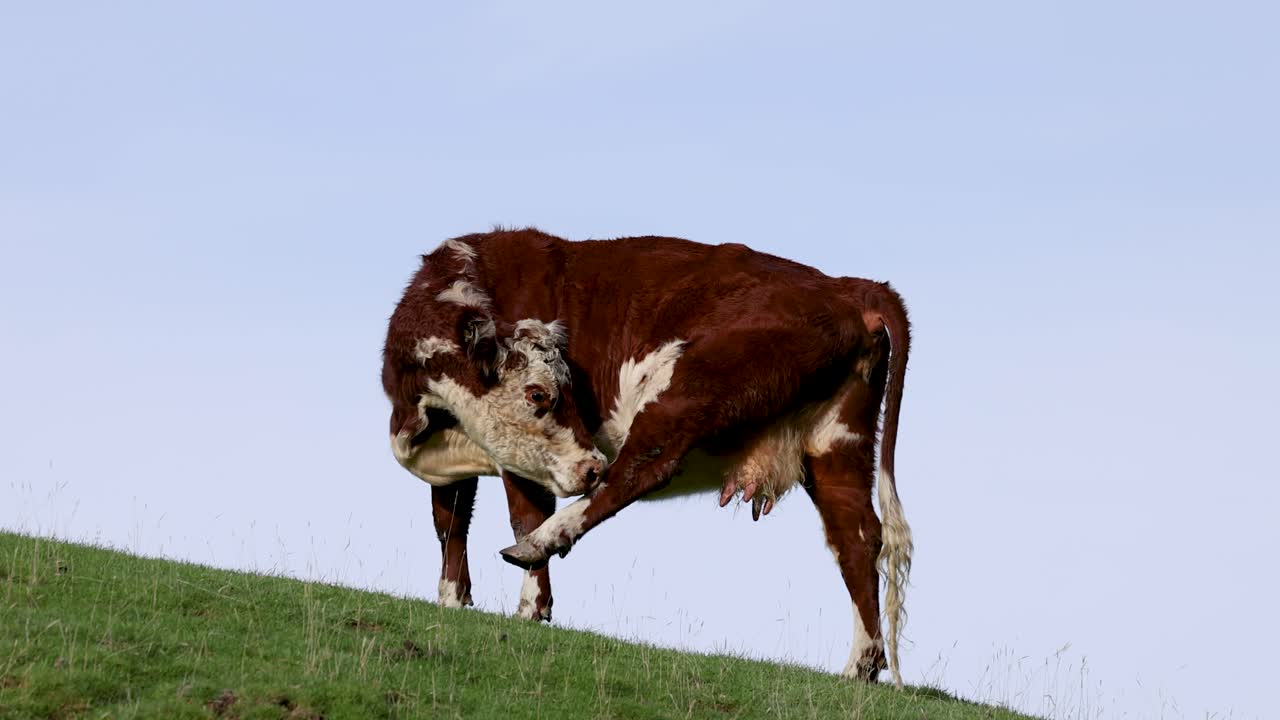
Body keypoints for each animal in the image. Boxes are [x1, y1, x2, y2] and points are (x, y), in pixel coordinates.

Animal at [382, 228, 914, 686]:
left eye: (561, 388)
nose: (591, 466)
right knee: (858, 538)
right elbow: (449, 521)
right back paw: (860, 666)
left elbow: (522, 514)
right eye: (537, 393)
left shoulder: (519, 457)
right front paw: (452, 599)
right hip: (836, 442)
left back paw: (544, 540)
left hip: (688, 384)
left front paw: (531, 606)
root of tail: (847, 286)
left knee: (640, 469)